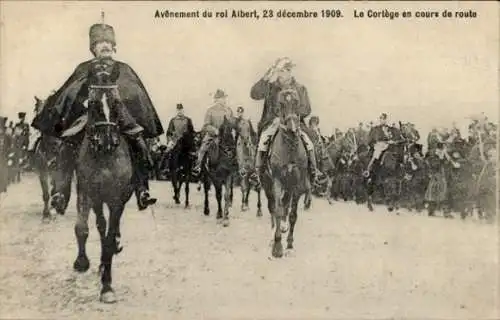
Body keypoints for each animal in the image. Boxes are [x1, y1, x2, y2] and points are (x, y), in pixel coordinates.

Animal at [70, 63, 136, 304]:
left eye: (116, 103)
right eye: (93, 103)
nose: (107, 141)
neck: (106, 158)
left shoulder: (117, 200)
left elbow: (108, 239)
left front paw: (107, 287)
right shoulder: (88, 193)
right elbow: (86, 227)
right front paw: (83, 262)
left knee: (110, 230)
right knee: (99, 224)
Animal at [260, 89, 310, 258]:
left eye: (296, 102)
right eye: (281, 104)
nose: (293, 128)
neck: (289, 148)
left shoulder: (297, 185)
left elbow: (292, 214)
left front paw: (289, 243)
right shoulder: (276, 181)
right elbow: (277, 210)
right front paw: (277, 246)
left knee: (285, 206)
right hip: (267, 183)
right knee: (273, 207)